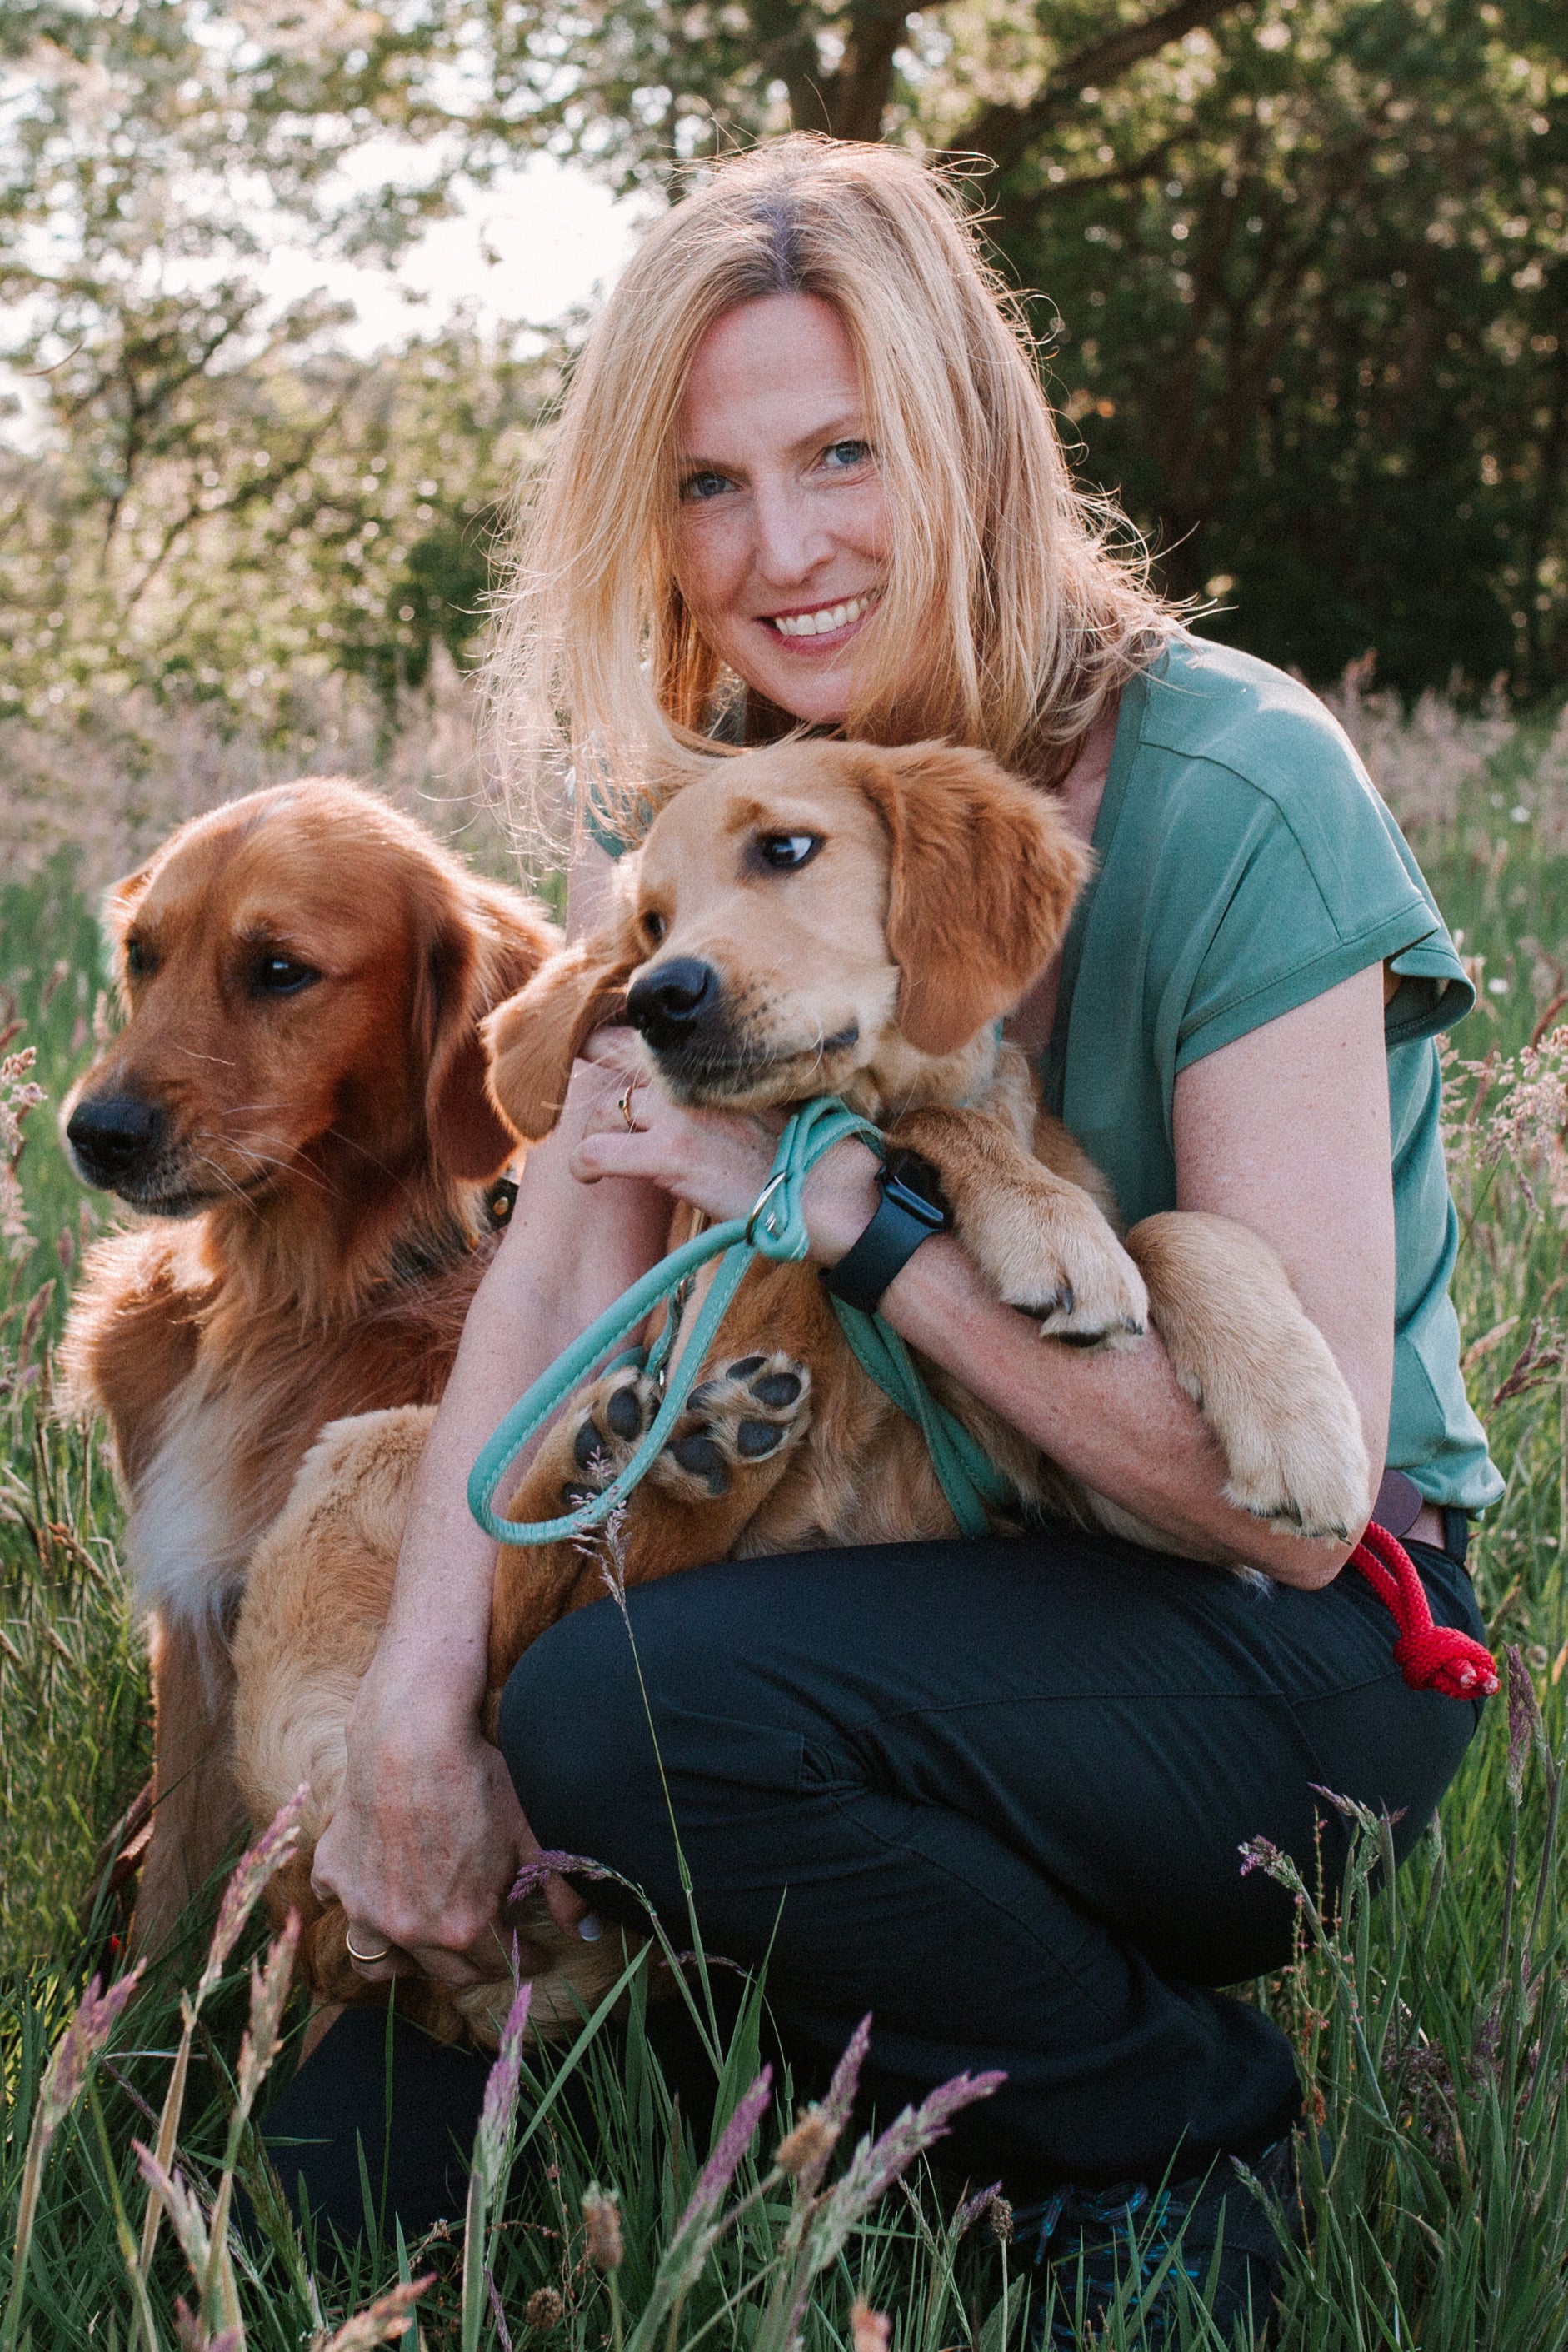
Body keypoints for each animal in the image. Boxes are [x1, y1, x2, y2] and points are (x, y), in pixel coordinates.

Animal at [60, 778, 557, 1953]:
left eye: (279, 970)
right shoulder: (197, 1637)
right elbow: (172, 1897)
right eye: (142, 955)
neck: (288, 1302)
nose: (93, 1132)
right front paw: (139, 2007)